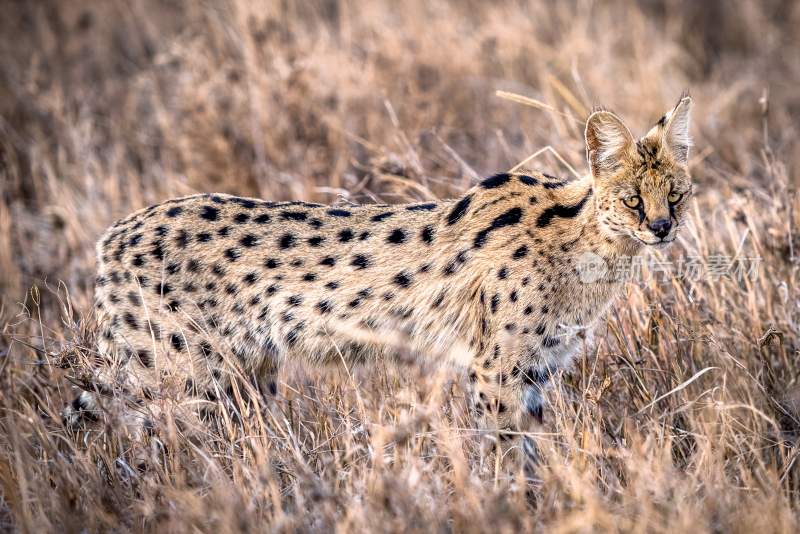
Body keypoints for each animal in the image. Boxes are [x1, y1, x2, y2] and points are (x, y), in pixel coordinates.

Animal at [67, 95, 692, 440]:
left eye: (676, 194)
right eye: (633, 200)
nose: (663, 228)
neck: (587, 250)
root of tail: (111, 235)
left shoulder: (534, 373)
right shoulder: (496, 370)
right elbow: (506, 451)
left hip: (244, 379)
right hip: (179, 379)